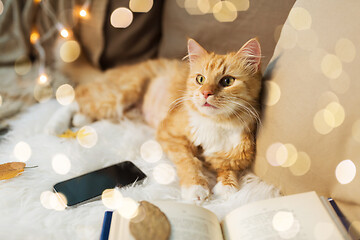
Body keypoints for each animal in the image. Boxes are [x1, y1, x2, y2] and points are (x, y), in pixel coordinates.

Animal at [47, 38, 262, 202]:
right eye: (200, 79)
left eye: (227, 81)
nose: (205, 93)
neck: (216, 123)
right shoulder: (170, 134)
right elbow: (189, 162)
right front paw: (196, 188)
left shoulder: (237, 154)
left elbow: (227, 168)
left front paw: (227, 186)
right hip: (119, 94)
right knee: (75, 96)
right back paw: (55, 125)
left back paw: (79, 119)